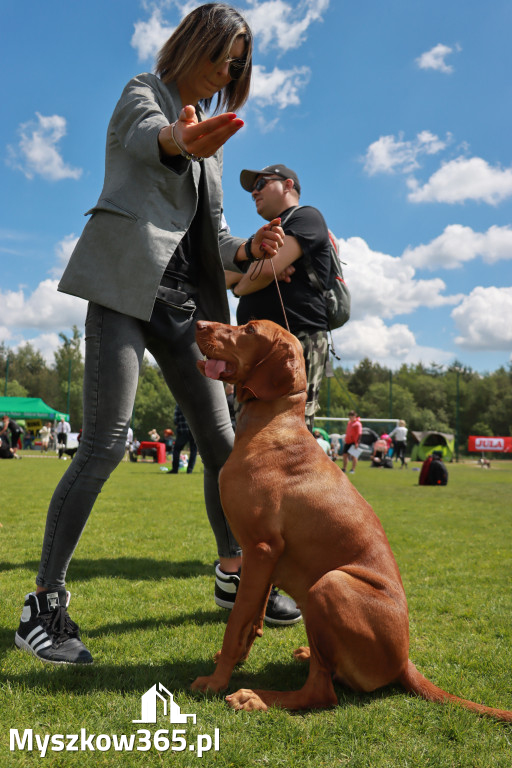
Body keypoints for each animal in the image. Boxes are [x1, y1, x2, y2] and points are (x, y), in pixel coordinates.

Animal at [193, 320, 512, 720]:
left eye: (249, 328)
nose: (198, 322)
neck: (272, 424)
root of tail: (404, 662)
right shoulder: (263, 559)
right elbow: (251, 621)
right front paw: (231, 662)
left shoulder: (260, 548)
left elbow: (236, 620)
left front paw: (217, 681)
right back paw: (303, 656)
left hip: (328, 585)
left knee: (322, 693)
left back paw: (257, 697)